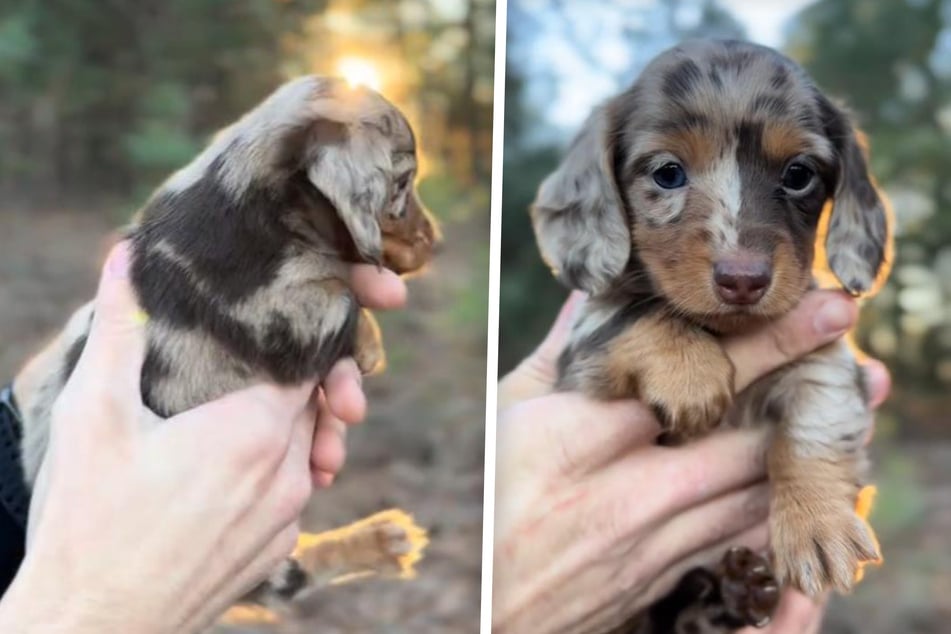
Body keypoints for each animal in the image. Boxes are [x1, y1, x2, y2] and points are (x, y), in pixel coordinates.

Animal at [11, 76, 438, 604]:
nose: (435, 240)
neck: (237, 191)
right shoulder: (283, 315)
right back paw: (386, 539)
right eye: (401, 185)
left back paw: (388, 538)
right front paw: (371, 345)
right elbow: (345, 297)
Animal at [532, 42, 896, 628]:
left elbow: (814, 425)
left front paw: (817, 522)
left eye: (799, 173)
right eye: (668, 172)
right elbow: (635, 313)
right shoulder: (582, 352)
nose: (742, 279)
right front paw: (691, 373)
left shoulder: (826, 357)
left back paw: (736, 589)